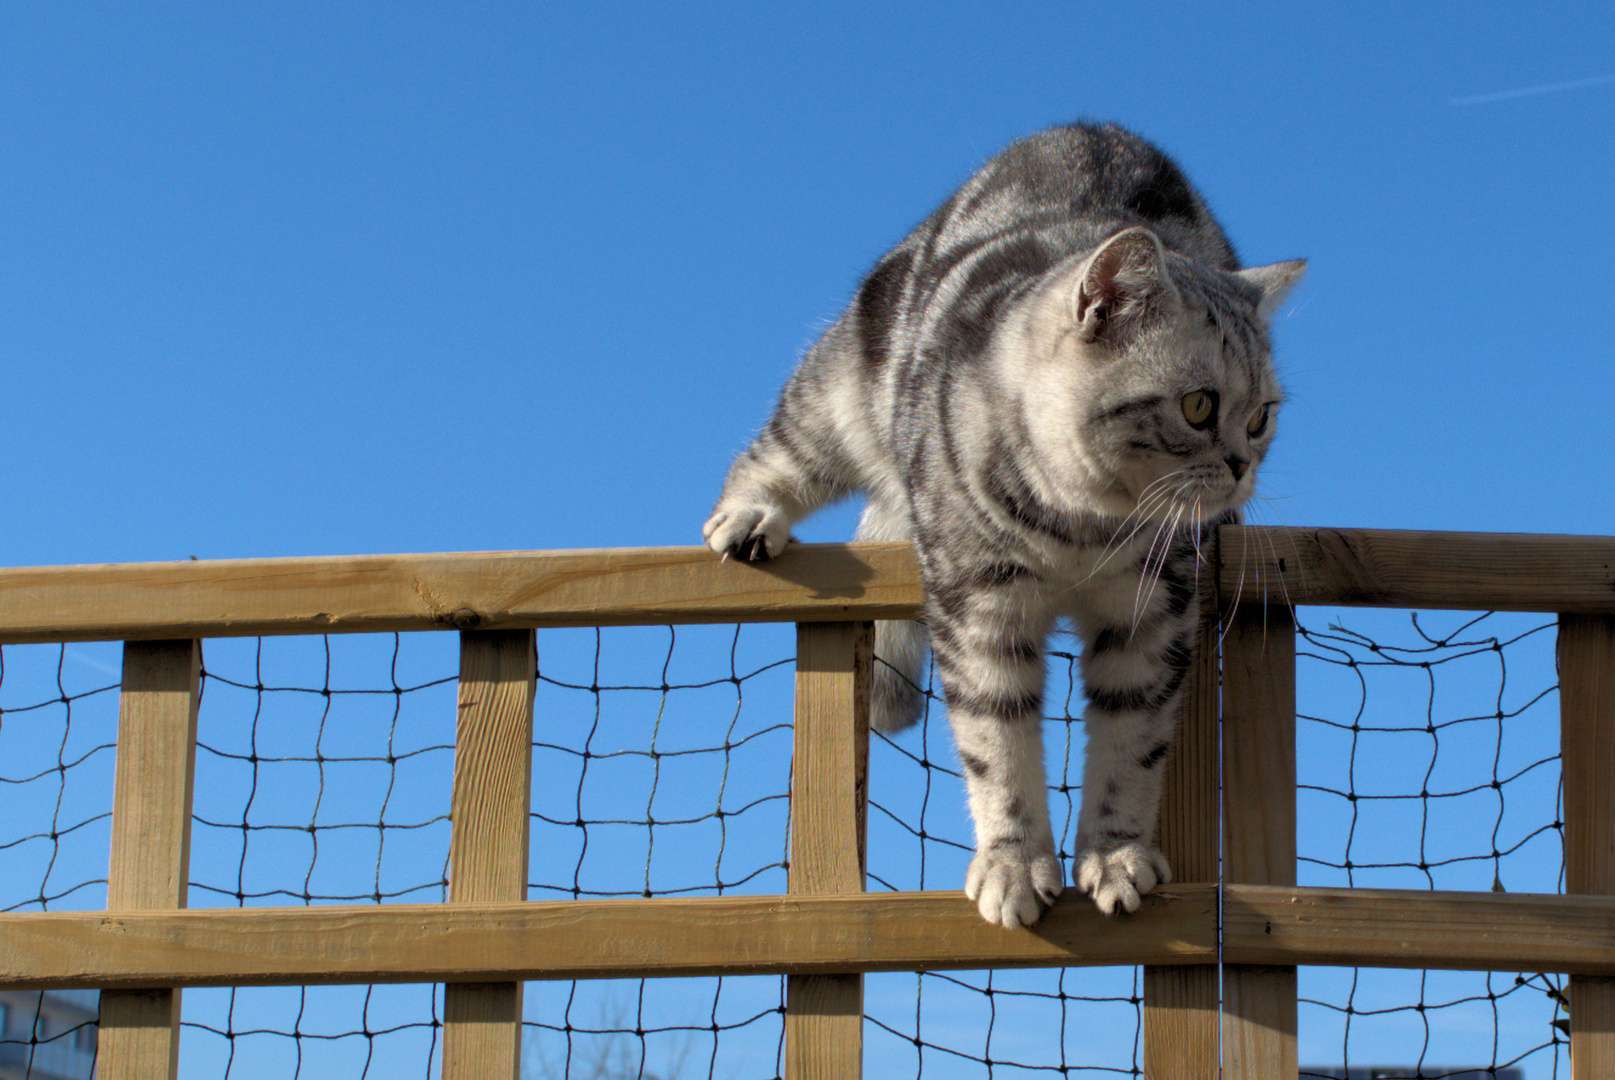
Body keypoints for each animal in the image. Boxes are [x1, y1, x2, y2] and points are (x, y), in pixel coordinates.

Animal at [704, 120, 1298, 929]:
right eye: (1199, 406)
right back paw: (747, 514)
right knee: (785, 442)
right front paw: (1013, 867)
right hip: (846, 380)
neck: (1083, 529)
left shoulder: (1151, 617)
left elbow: (1131, 747)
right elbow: (998, 747)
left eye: (1262, 417)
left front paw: (1114, 857)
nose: (1242, 465)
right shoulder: (980, 611)